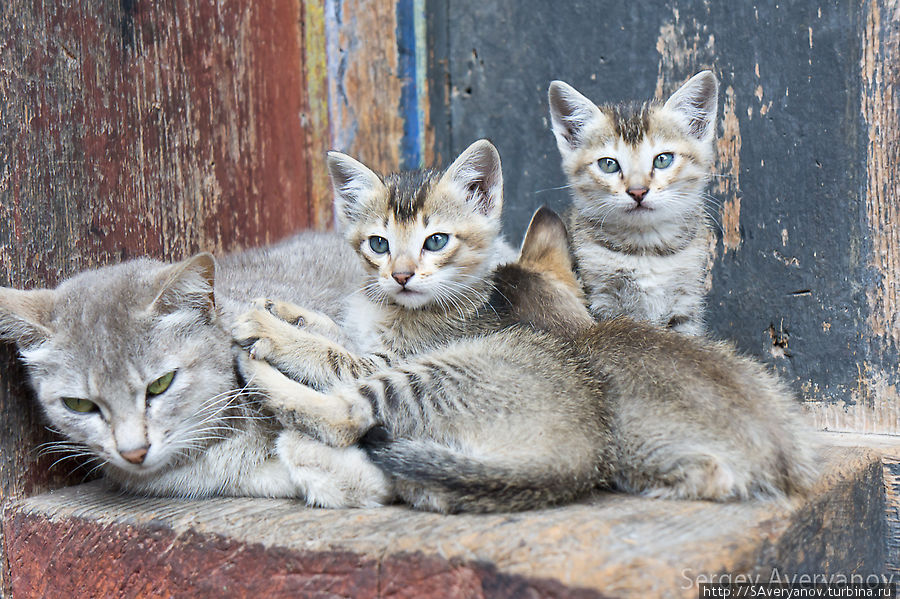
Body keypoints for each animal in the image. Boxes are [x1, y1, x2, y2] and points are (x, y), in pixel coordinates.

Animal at [237, 207, 816, 516]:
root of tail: (571, 460)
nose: (403, 274)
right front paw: (283, 310)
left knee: (348, 416)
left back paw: (258, 373)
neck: (577, 330)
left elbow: (332, 353)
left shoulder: (383, 359)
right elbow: (332, 328)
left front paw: (267, 328)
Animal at [544, 70, 720, 338]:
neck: (646, 248)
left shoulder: (686, 302)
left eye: (663, 159)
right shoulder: (600, 299)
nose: (638, 191)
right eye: (608, 164)